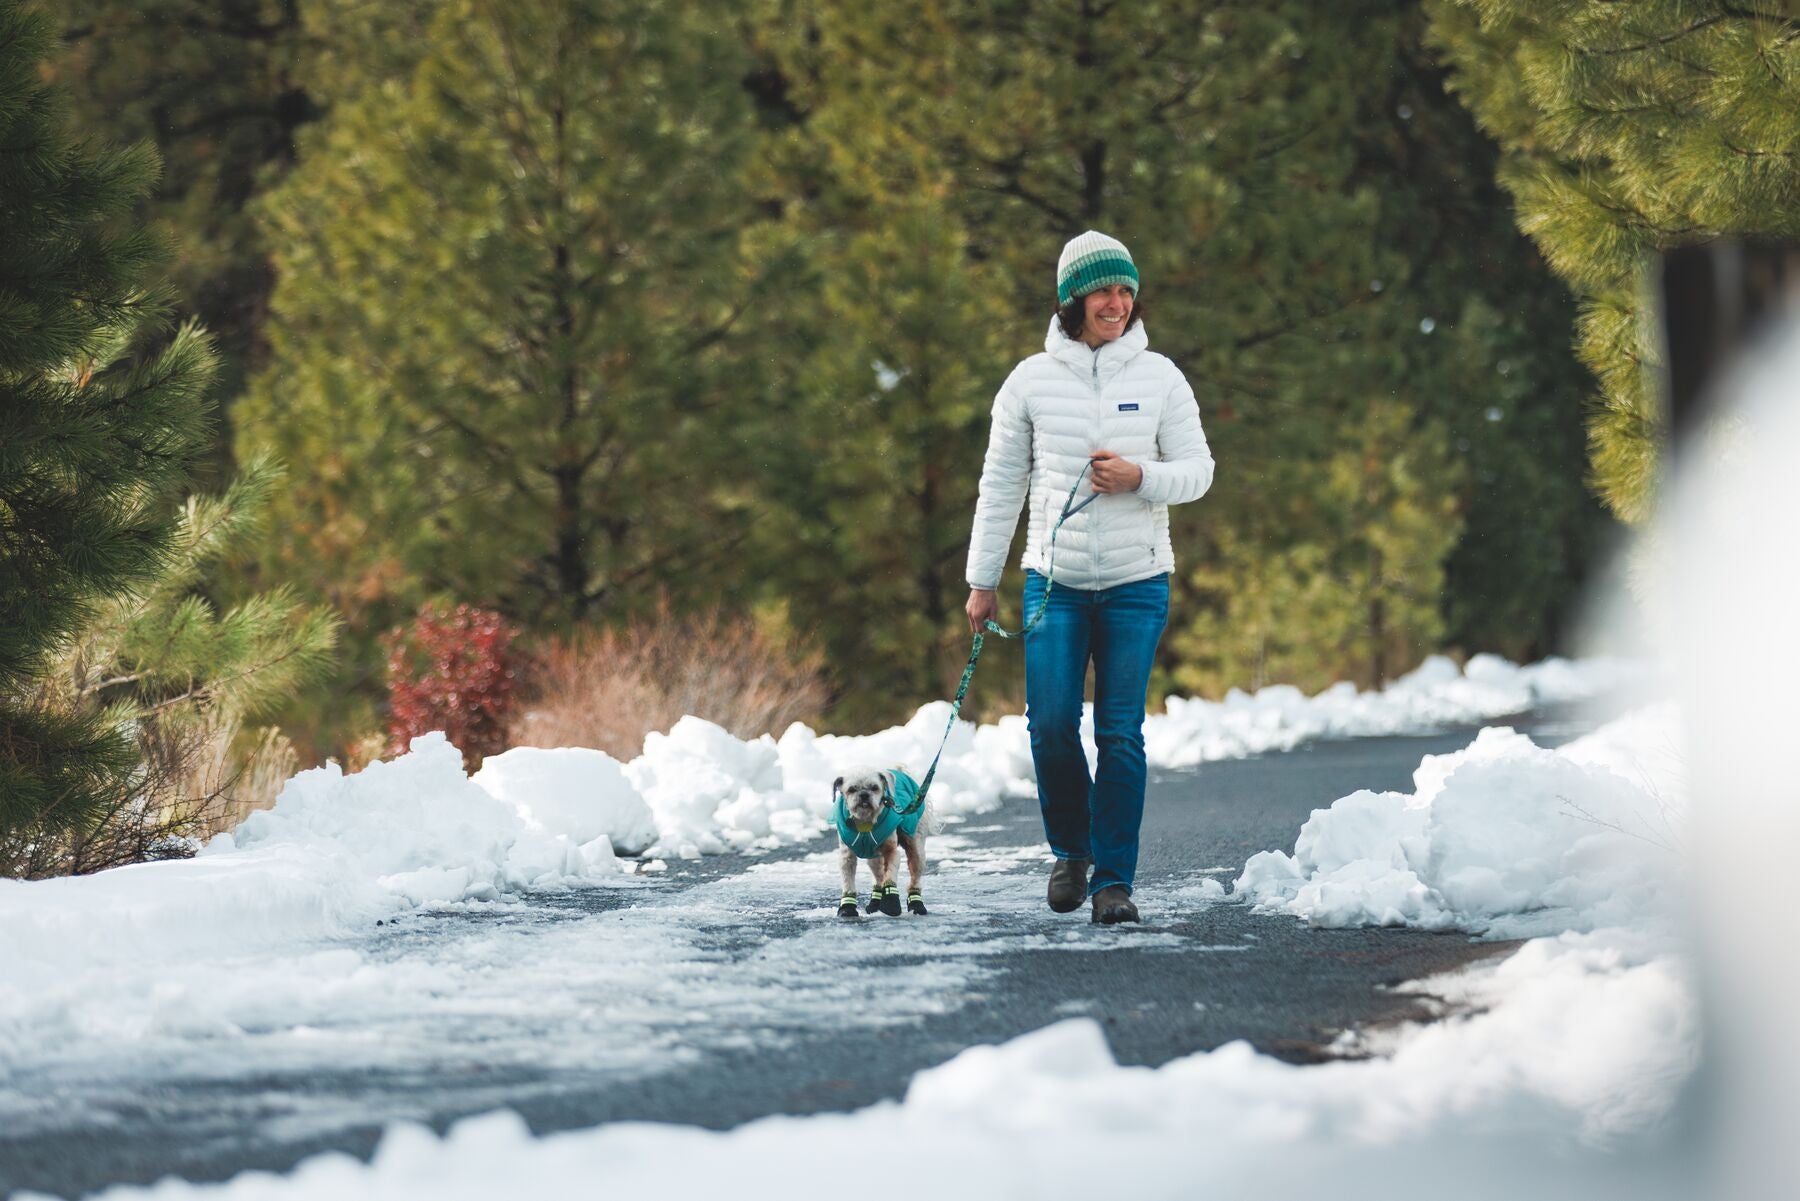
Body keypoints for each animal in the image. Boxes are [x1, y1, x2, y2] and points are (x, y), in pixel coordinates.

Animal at [835, 767, 936, 929]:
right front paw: (847, 908)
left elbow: (890, 874)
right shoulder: (846, 856)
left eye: (875, 787)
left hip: (916, 848)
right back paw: (875, 903)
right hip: (873, 857)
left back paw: (917, 904)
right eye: (851, 789)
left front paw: (891, 903)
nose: (864, 795)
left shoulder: (891, 851)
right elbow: (848, 881)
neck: (865, 821)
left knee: (914, 877)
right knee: (878, 876)